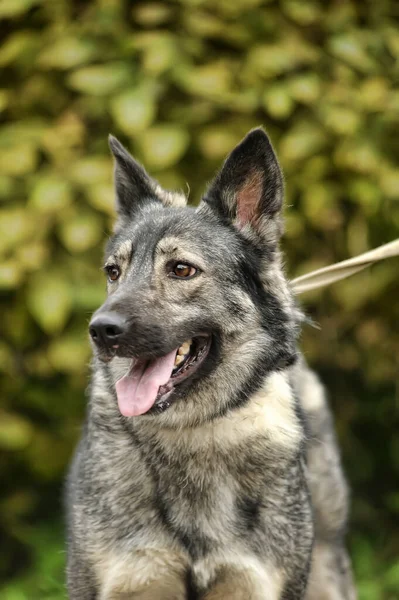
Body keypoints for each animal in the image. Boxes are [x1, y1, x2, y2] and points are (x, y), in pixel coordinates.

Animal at [65, 129, 356, 596]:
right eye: (113, 272)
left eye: (182, 269)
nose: (101, 330)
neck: (193, 431)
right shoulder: (133, 576)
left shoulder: (253, 580)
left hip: (327, 567)